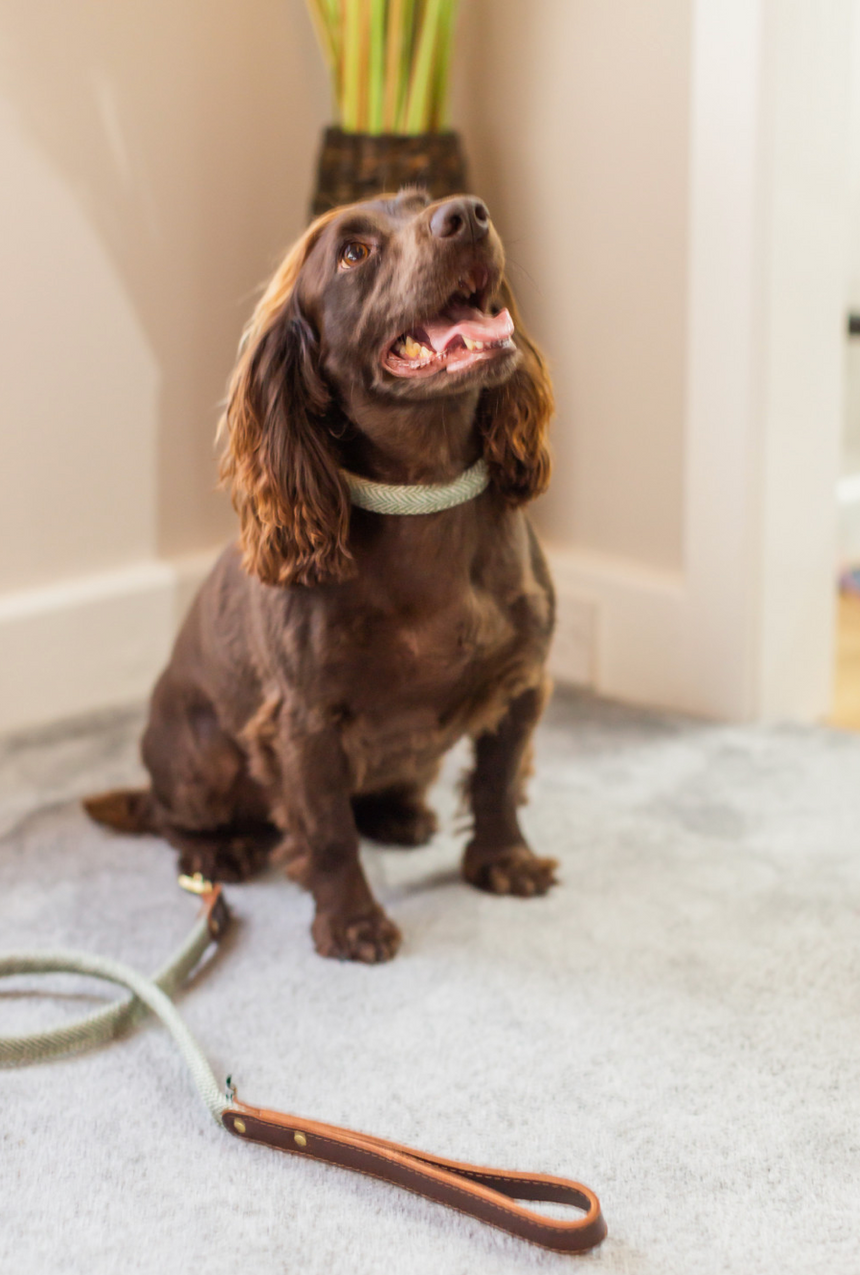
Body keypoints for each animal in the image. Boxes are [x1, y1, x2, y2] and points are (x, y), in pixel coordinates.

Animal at [84, 191, 558, 963]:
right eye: (353, 254)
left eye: (425, 200)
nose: (468, 213)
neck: (424, 494)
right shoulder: (302, 724)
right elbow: (329, 832)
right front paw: (352, 921)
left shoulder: (523, 681)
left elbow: (497, 781)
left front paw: (504, 861)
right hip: (202, 757)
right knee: (171, 817)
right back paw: (217, 851)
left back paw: (399, 812)